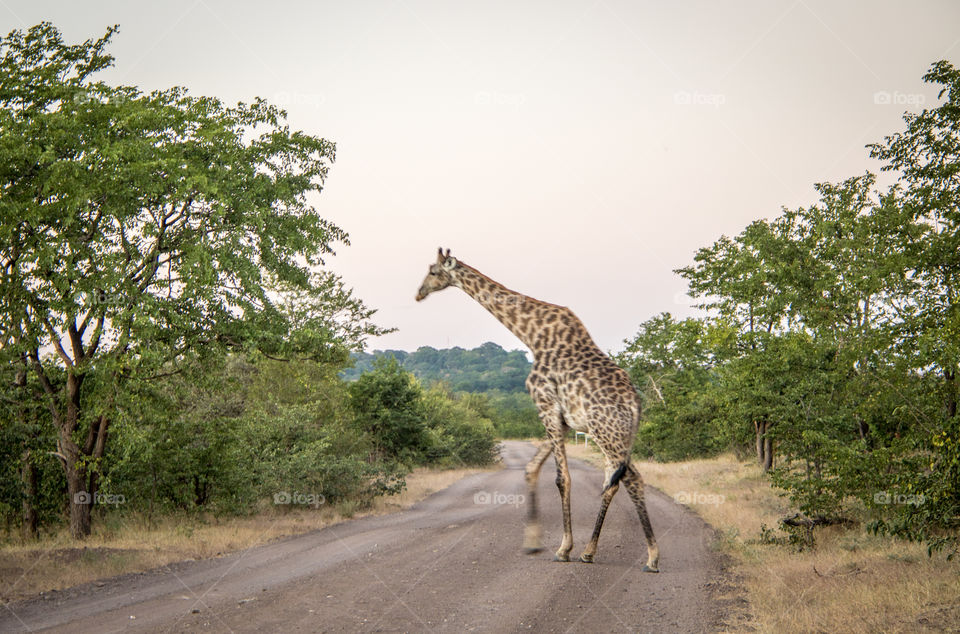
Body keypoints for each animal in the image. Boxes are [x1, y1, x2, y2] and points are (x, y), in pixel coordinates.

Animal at [418, 246, 660, 568]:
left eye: (433, 271)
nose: (419, 293)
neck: (531, 335)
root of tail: (635, 405)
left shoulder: (546, 406)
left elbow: (561, 479)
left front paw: (563, 548)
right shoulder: (563, 420)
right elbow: (531, 469)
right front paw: (533, 543)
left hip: (606, 434)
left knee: (628, 479)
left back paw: (649, 556)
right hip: (619, 437)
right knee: (619, 480)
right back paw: (593, 552)